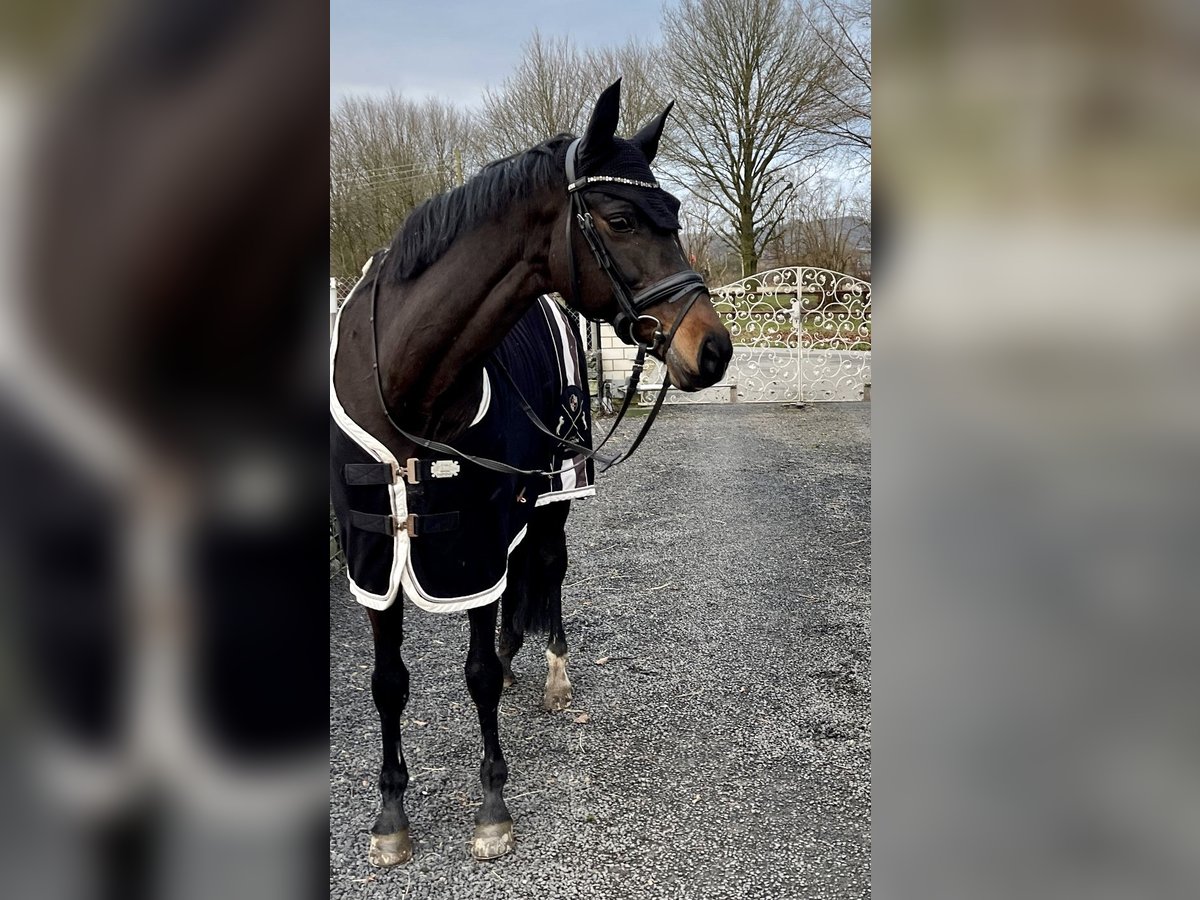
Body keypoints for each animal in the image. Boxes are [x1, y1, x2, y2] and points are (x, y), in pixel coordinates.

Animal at [328, 82, 729, 868]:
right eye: (621, 218)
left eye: (673, 214)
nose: (714, 348)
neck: (404, 376)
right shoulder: (376, 552)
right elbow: (387, 683)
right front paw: (390, 817)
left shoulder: (474, 539)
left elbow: (477, 672)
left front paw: (491, 808)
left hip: (552, 494)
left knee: (546, 567)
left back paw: (551, 675)